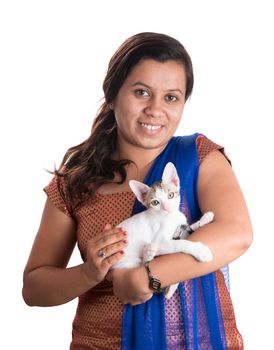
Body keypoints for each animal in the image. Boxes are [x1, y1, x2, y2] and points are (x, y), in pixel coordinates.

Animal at [112, 161, 214, 298]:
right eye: (155, 202)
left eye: (170, 195)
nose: (167, 208)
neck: (171, 217)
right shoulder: (160, 241)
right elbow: (179, 244)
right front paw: (201, 251)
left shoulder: (180, 228)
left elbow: (189, 229)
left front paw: (204, 220)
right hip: (128, 262)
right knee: (143, 264)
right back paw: (148, 253)